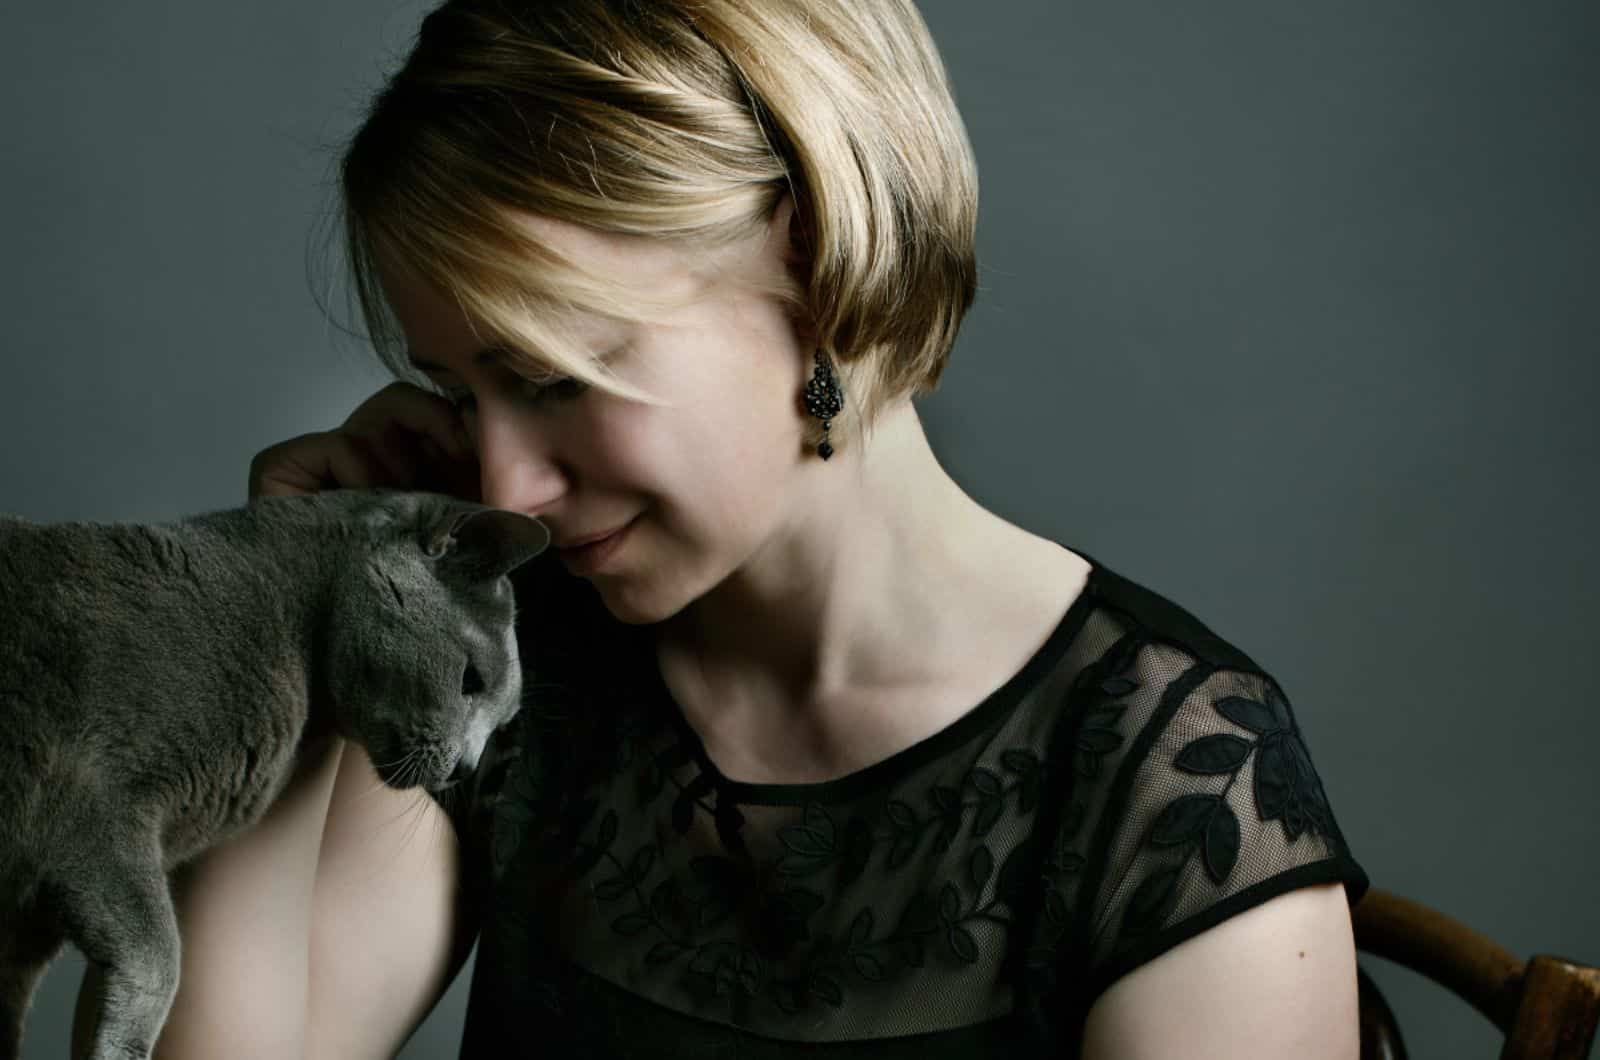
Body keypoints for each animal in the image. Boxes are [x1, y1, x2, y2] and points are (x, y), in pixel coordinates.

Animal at [0, 489, 550, 1060]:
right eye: (470, 680)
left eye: (501, 726)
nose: (466, 767)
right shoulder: (94, 805)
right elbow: (160, 953)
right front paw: (120, 1048)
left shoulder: (25, 928)